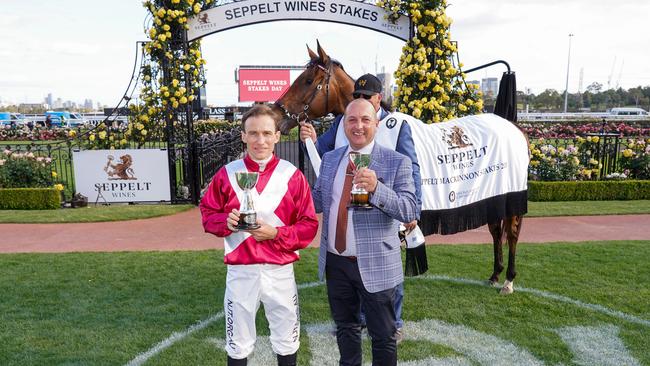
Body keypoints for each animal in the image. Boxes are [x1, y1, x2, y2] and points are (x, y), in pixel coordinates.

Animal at [270, 43, 524, 294]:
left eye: (308, 80)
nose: (277, 114)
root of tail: (513, 126)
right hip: (493, 197)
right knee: (495, 230)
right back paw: (494, 275)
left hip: (512, 196)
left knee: (511, 234)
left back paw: (509, 281)